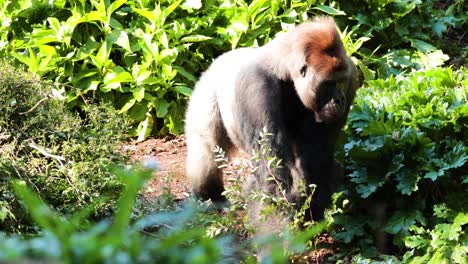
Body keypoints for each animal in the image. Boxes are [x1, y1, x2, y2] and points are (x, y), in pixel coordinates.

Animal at [185, 15, 360, 220]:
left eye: (341, 82)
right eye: (328, 84)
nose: (340, 100)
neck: (286, 69)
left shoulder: (351, 77)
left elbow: (317, 157)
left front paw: (312, 211)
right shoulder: (256, 86)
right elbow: (270, 165)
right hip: (206, 87)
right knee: (207, 147)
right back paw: (209, 196)